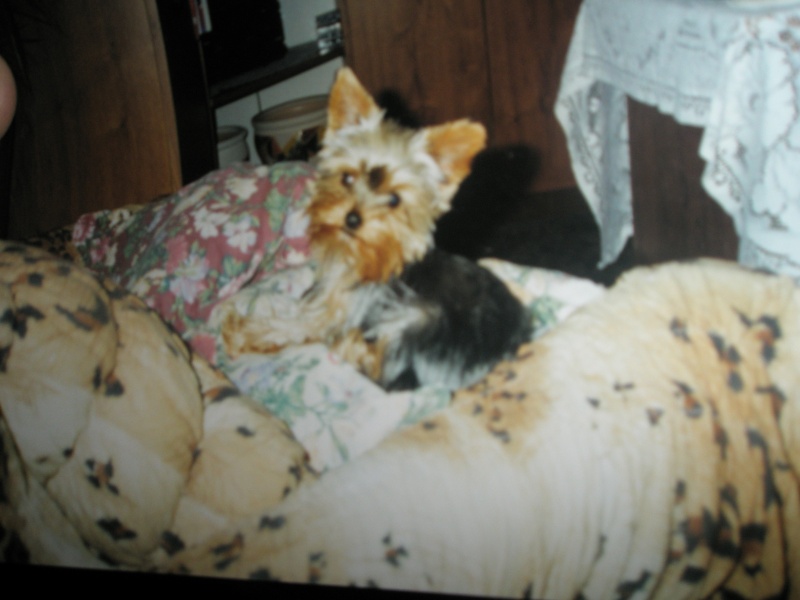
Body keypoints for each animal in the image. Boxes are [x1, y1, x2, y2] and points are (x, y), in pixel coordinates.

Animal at [218, 67, 531, 391]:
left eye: (394, 199)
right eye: (347, 178)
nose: (352, 219)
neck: (357, 256)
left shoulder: (340, 310)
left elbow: (294, 324)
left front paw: (243, 332)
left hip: (407, 317)